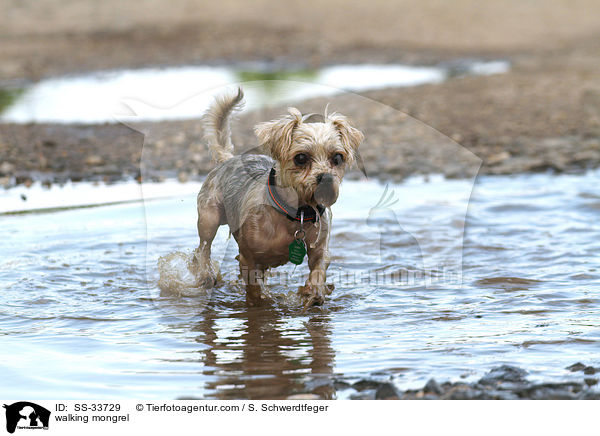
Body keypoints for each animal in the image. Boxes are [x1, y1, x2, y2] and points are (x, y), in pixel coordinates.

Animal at [195, 87, 364, 306]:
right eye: (301, 158)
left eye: (337, 157)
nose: (326, 178)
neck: (296, 214)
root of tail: (229, 159)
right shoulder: (248, 258)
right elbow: (254, 288)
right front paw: (260, 303)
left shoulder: (319, 251)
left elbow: (318, 270)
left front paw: (314, 293)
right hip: (209, 218)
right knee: (203, 248)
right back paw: (205, 274)